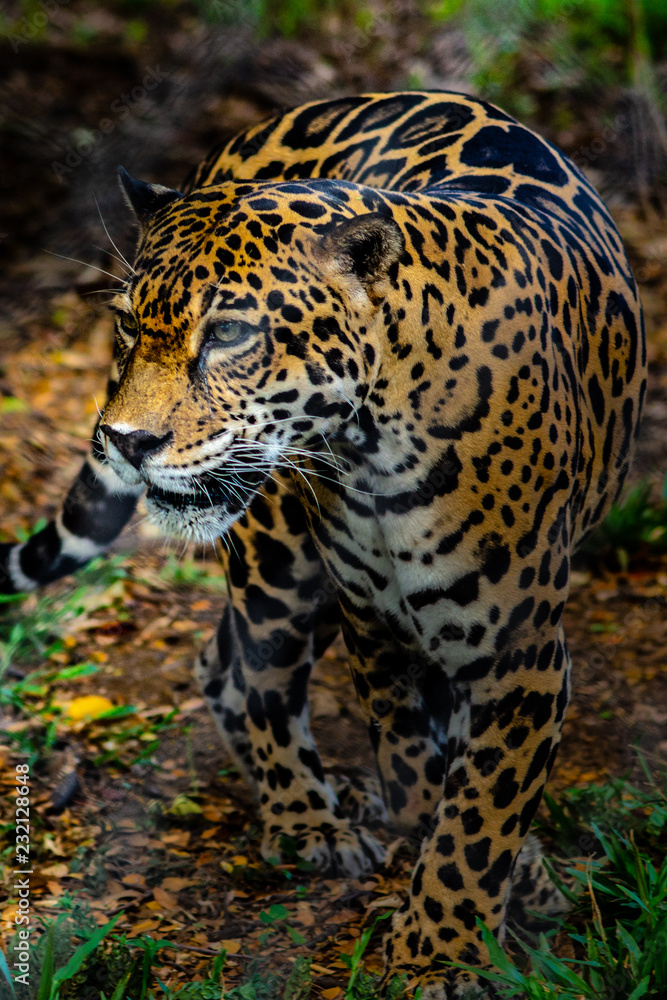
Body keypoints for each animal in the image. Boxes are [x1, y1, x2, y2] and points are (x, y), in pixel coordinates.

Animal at [0, 92, 646, 997]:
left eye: (228, 334)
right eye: (127, 325)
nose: (124, 439)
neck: (377, 442)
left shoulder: (519, 655)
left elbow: (479, 807)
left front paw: (443, 945)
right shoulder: (374, 626)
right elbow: (425, 780)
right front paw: (451, 919)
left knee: (229, 662)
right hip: (277, 551)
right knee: (250, 672)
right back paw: (309, 820)